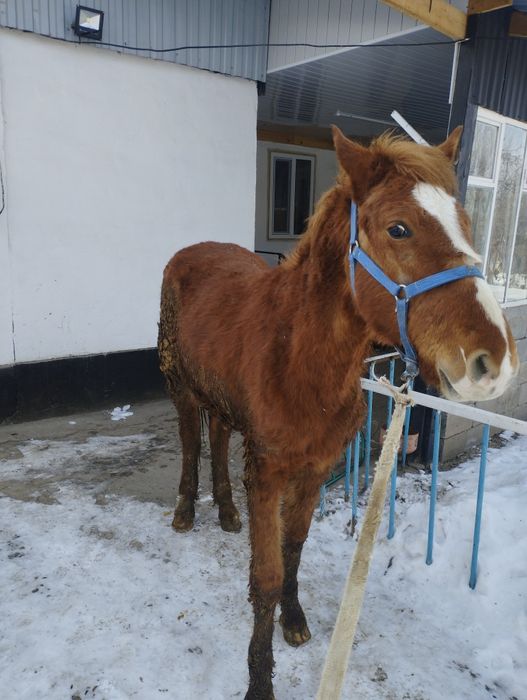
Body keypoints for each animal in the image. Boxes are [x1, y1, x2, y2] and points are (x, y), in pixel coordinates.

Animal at [158, 126, 519, 699]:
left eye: (465, 223)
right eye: (399, 229)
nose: (495, 360)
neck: (297, 356)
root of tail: (191, 253)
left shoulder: (315, 467)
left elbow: (295, 546)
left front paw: (294, 619)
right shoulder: (268, 472)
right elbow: (266, 574)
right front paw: (259, 680)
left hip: (222, 399)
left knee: (217, 436)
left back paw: (228, 511)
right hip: (182, 386)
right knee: (193, 440)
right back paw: (187, 511)